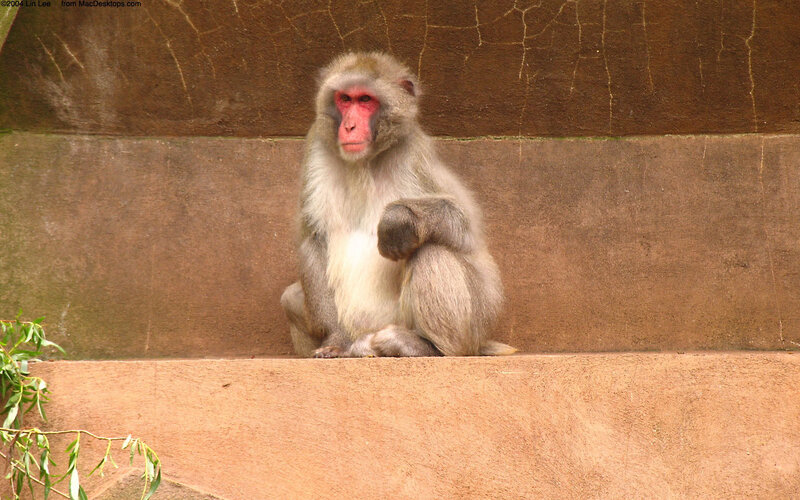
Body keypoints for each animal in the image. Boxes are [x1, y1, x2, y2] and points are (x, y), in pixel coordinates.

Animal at [280, 51, 516, 358]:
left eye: (365, 100)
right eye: (345, 99)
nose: (349, 126)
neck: (365, 162)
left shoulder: (414, 154)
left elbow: (464, 226)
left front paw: (399, 220)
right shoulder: (316, 148)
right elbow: (314, 237)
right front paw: (334, 339)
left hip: (472, 327)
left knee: (431, 250)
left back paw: (427, 348)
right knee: (290, 297)